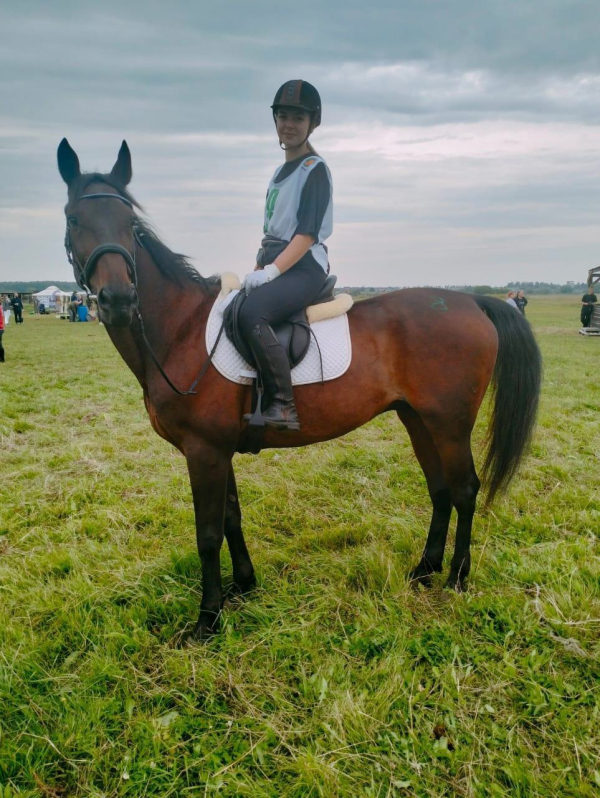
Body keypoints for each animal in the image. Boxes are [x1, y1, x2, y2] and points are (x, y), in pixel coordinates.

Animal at [57, 139, 544, 644]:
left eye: (130, 224)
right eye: (73, 220)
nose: (118, 300)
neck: (181, 331)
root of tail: (473, 301)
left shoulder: (204, 450)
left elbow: (208, 534)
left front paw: (207, 620)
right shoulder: (217, 449)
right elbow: (231, 518)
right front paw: (243, 587)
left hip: (449, 424)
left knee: (465, 489)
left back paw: (456, 578)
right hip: (418, 420)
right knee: (441, 489)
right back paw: (425, 569)